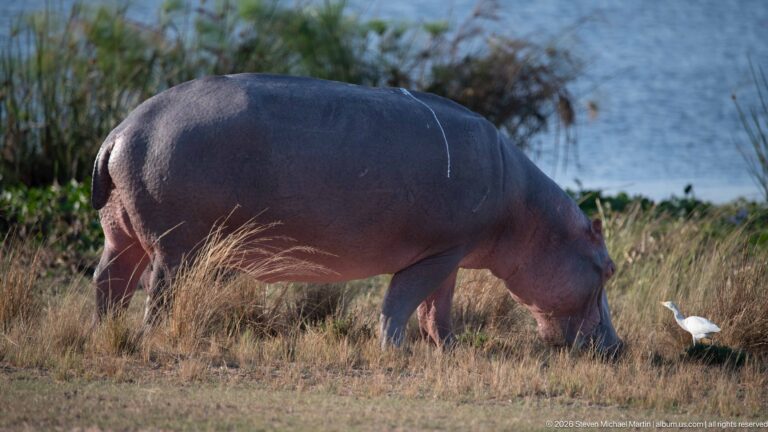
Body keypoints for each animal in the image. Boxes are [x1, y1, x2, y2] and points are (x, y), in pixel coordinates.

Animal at [91, 74, 621, 353]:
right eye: (609, 268)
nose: (619, 346)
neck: (529, 215)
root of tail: (120, 132)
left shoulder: (448, 253)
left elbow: (437, 307)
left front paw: (448, 349)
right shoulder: (436, 252)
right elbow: (402, 301)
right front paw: (395, 350)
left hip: (122, 234)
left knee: (108, 281)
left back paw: (105, 333)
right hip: (177, 245)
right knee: (159, 293)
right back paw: (155, 338)